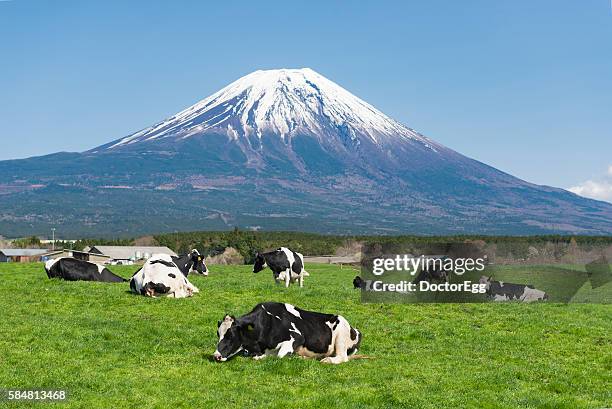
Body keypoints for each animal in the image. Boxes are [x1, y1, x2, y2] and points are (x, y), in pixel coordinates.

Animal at [214, 300, 360, 364]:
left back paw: (326, 359)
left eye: (230, 335)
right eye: (218, 334)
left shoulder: (297, 337)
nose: (216, 356)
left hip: (341, 337)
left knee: (342, 357)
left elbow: (279, 355)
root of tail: (354, 329)